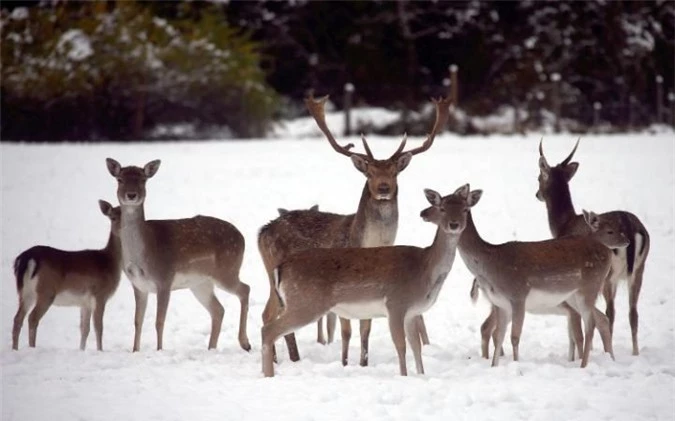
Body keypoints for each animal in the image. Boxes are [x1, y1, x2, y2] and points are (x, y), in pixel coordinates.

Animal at [12, 199, 123, 350]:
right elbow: (98, 327)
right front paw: (100, 350)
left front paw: (82, 350)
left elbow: (84, 329)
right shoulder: (100, 294)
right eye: (112, 217)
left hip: (25, 292)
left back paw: (15, 349)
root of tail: (26, 258)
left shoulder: (85, 302)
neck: (111, 261)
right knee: (33, 318)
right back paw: (32, 348)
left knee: (18, 318)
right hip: (46, 291)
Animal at [105, 158, 251, 352]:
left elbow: (159, 321)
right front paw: (135, 351)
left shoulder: (164, 279)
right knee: (218, 310)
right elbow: (137, 321)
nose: (131, 195)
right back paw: (211, 348)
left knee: (245, 290)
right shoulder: (138, 285)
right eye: (119, 179)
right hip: (201, 283)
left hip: (227, 270)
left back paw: (245, 343)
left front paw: (159, 350)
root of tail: (242, 237)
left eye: (143, 179)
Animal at [258, 94, 454, 364]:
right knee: (270, 316)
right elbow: (346, 330)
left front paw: (363, 362)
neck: (369, 242)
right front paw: (345, 362)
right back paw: (285, 358)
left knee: (269, 315)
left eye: (394, 172)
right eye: (369, 173)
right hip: (274, 275)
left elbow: (366, 327)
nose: (383, 188)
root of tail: (262, 232)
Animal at [262, 184, 472, 378]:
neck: (425, 269)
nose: (454, 225)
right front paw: (404, 376)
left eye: (465, 209)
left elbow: (416, 347)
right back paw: (269, 375)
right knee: (269, 330)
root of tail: (280, 268)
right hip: (306, 303)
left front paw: (421, 375)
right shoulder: (396, 303)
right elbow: (401, 345)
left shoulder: (412, 312)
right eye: (442, 208)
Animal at [536, 139, 652, 354]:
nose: (537, 194)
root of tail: (630, 226)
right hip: (640, 268)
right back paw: (635, 352)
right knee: (633, 312)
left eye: (539, 177)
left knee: (611, 312)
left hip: (608, 274)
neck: (563, 225)